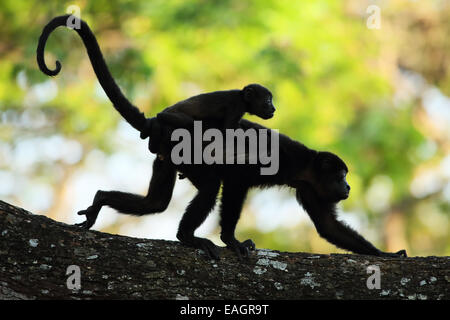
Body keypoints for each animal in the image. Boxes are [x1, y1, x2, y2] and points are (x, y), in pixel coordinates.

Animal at [36, 15, 274, 154]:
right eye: (268, 100)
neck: (242, 97)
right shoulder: (236, 107)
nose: (273, 108)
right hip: (170, 117)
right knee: (184, 122)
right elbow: (226, 132)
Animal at [75, 117, 406, 260]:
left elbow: (328, 225)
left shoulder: (310, 188)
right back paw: (187, 236)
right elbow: (235, 180)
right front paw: (230, 240)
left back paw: (100, 199)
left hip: (167, 158)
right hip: (190, 155)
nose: (348, 186)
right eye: (340, 175)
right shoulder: (281, 158)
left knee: (155, 202)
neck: (305, 167)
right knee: (210, 187)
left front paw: (384, 255)